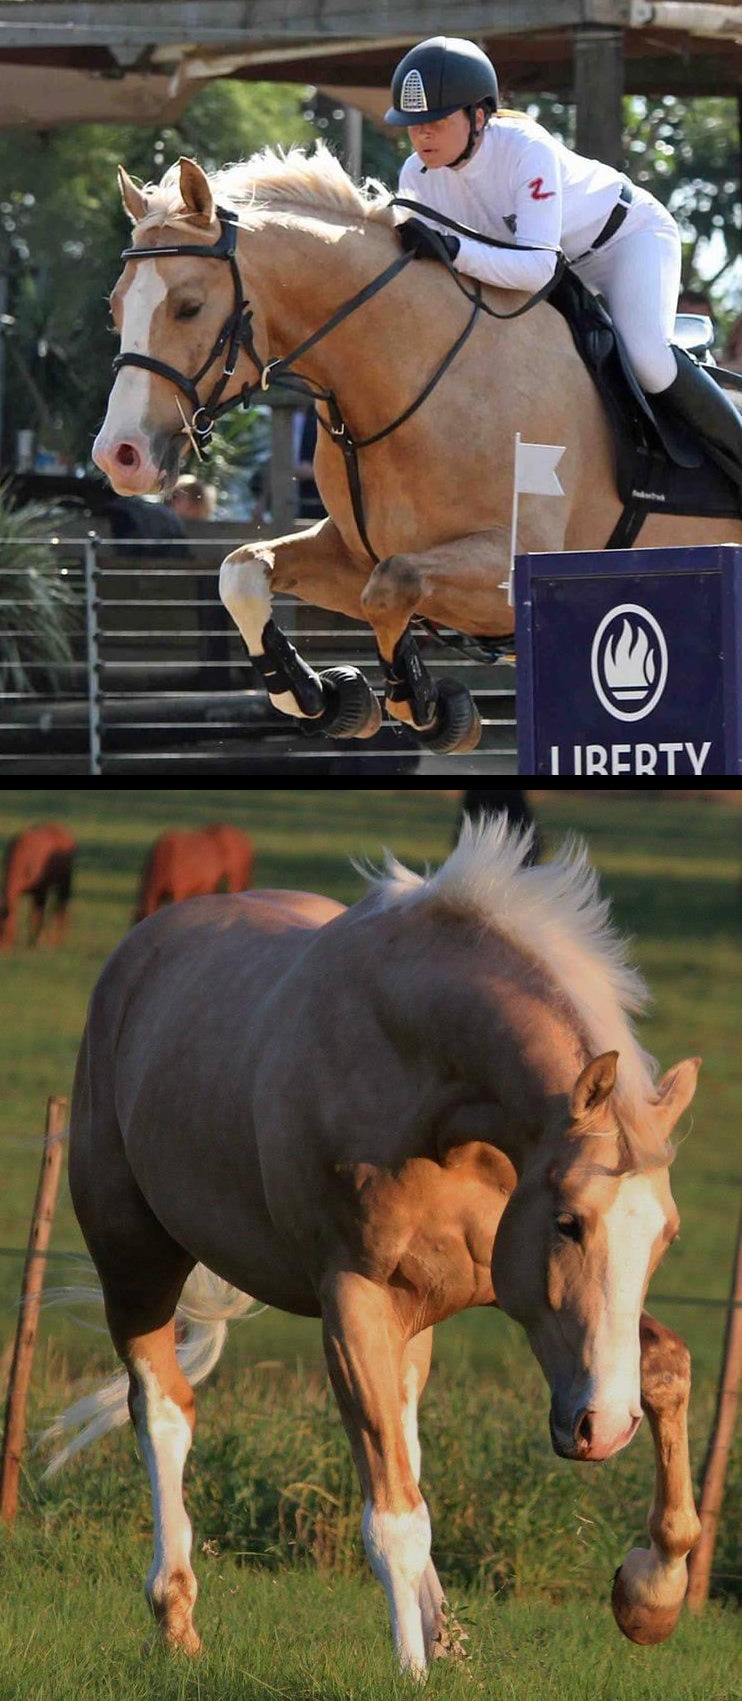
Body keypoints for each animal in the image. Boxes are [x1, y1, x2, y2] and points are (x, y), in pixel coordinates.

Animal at [0, 819, 76, 952]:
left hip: (65, 881)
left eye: (2, 929)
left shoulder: (40, 890)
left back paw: (58, 939)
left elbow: (37, 916)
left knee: (61, 906)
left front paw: (35, 943)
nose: (2, 949)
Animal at [47, 819, 701, 1673]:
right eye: (568, 1221)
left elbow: (665, 1367)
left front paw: (651, 1593)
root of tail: (140, 951)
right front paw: (413, 1670)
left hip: (412, 1319)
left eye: (665, 1235)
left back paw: (445, 1627)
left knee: (403, 1437)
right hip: (137, 1260)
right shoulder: (353, 1299)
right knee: (163, 1411)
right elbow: (393, 1516)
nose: (604, 1427)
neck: (421, 1068)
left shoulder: (504, 1289)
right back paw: (177, 1616)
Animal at [91, 142, 742, 755]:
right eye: (115, 307)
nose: (119, 456)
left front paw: (423, 704)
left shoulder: (511, 570)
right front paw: (318, 697)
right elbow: (244, 572)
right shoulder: (350, 552)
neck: (414, 378)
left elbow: (392, 585)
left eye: (189, 306)